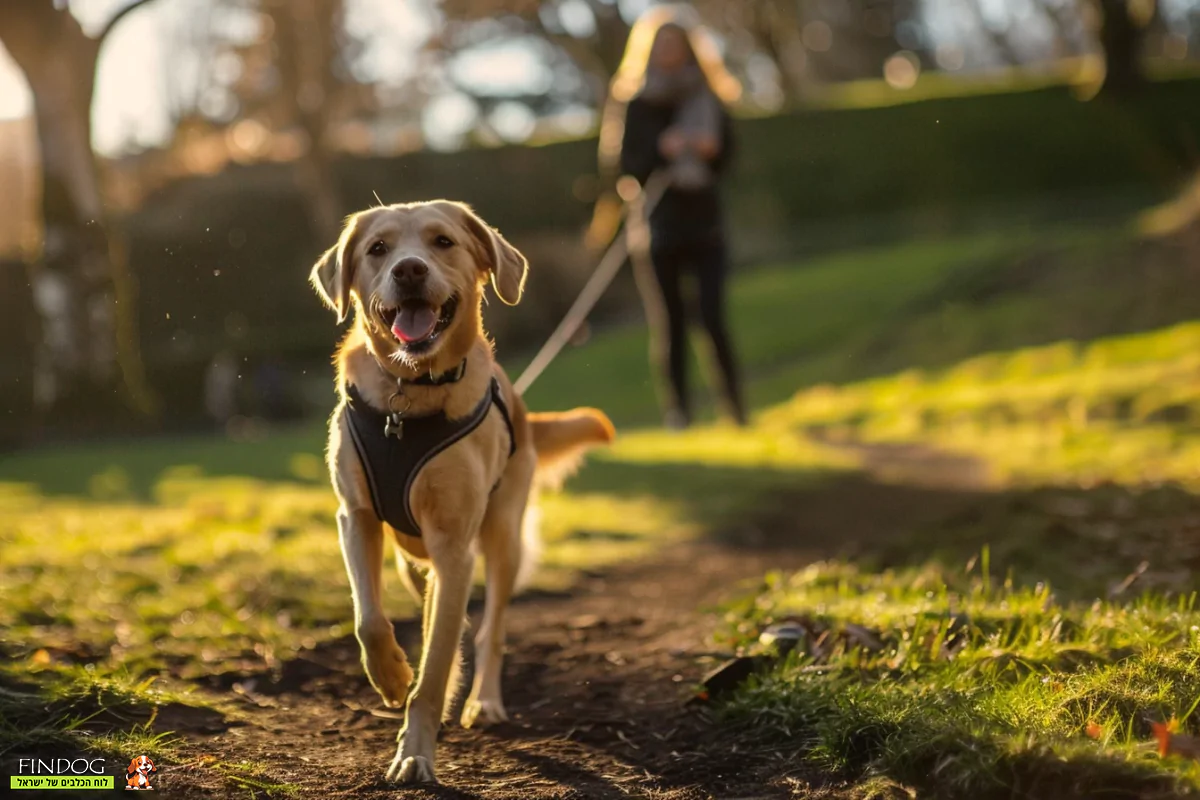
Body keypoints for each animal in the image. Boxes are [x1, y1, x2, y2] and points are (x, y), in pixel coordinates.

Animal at [309, 200, 614, 782]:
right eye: (377, 249)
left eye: (442, 242)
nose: (409, 270)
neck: (408, 394)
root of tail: (522, 406)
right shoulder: (355, 518)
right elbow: (369, 620)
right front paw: (391, 676)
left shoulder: (455, 547)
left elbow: (435, 669)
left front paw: (415, 752)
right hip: (416, 557)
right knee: (426, 603)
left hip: (502, 540)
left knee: (488, 630)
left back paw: (483, 701)